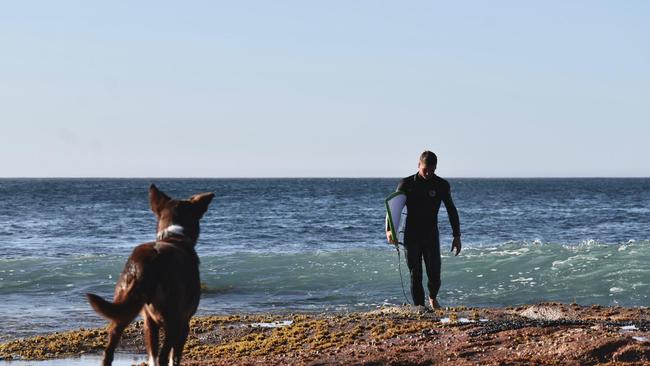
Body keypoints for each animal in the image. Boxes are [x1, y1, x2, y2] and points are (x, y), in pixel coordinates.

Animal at [84, 184, 213, 366]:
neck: (174, 236)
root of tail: (147, 261)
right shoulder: (183, 323)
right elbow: (174, 357)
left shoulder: (149, 322)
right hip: (173, 319)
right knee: (164, 356)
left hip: (125, 306)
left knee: (109, 351)